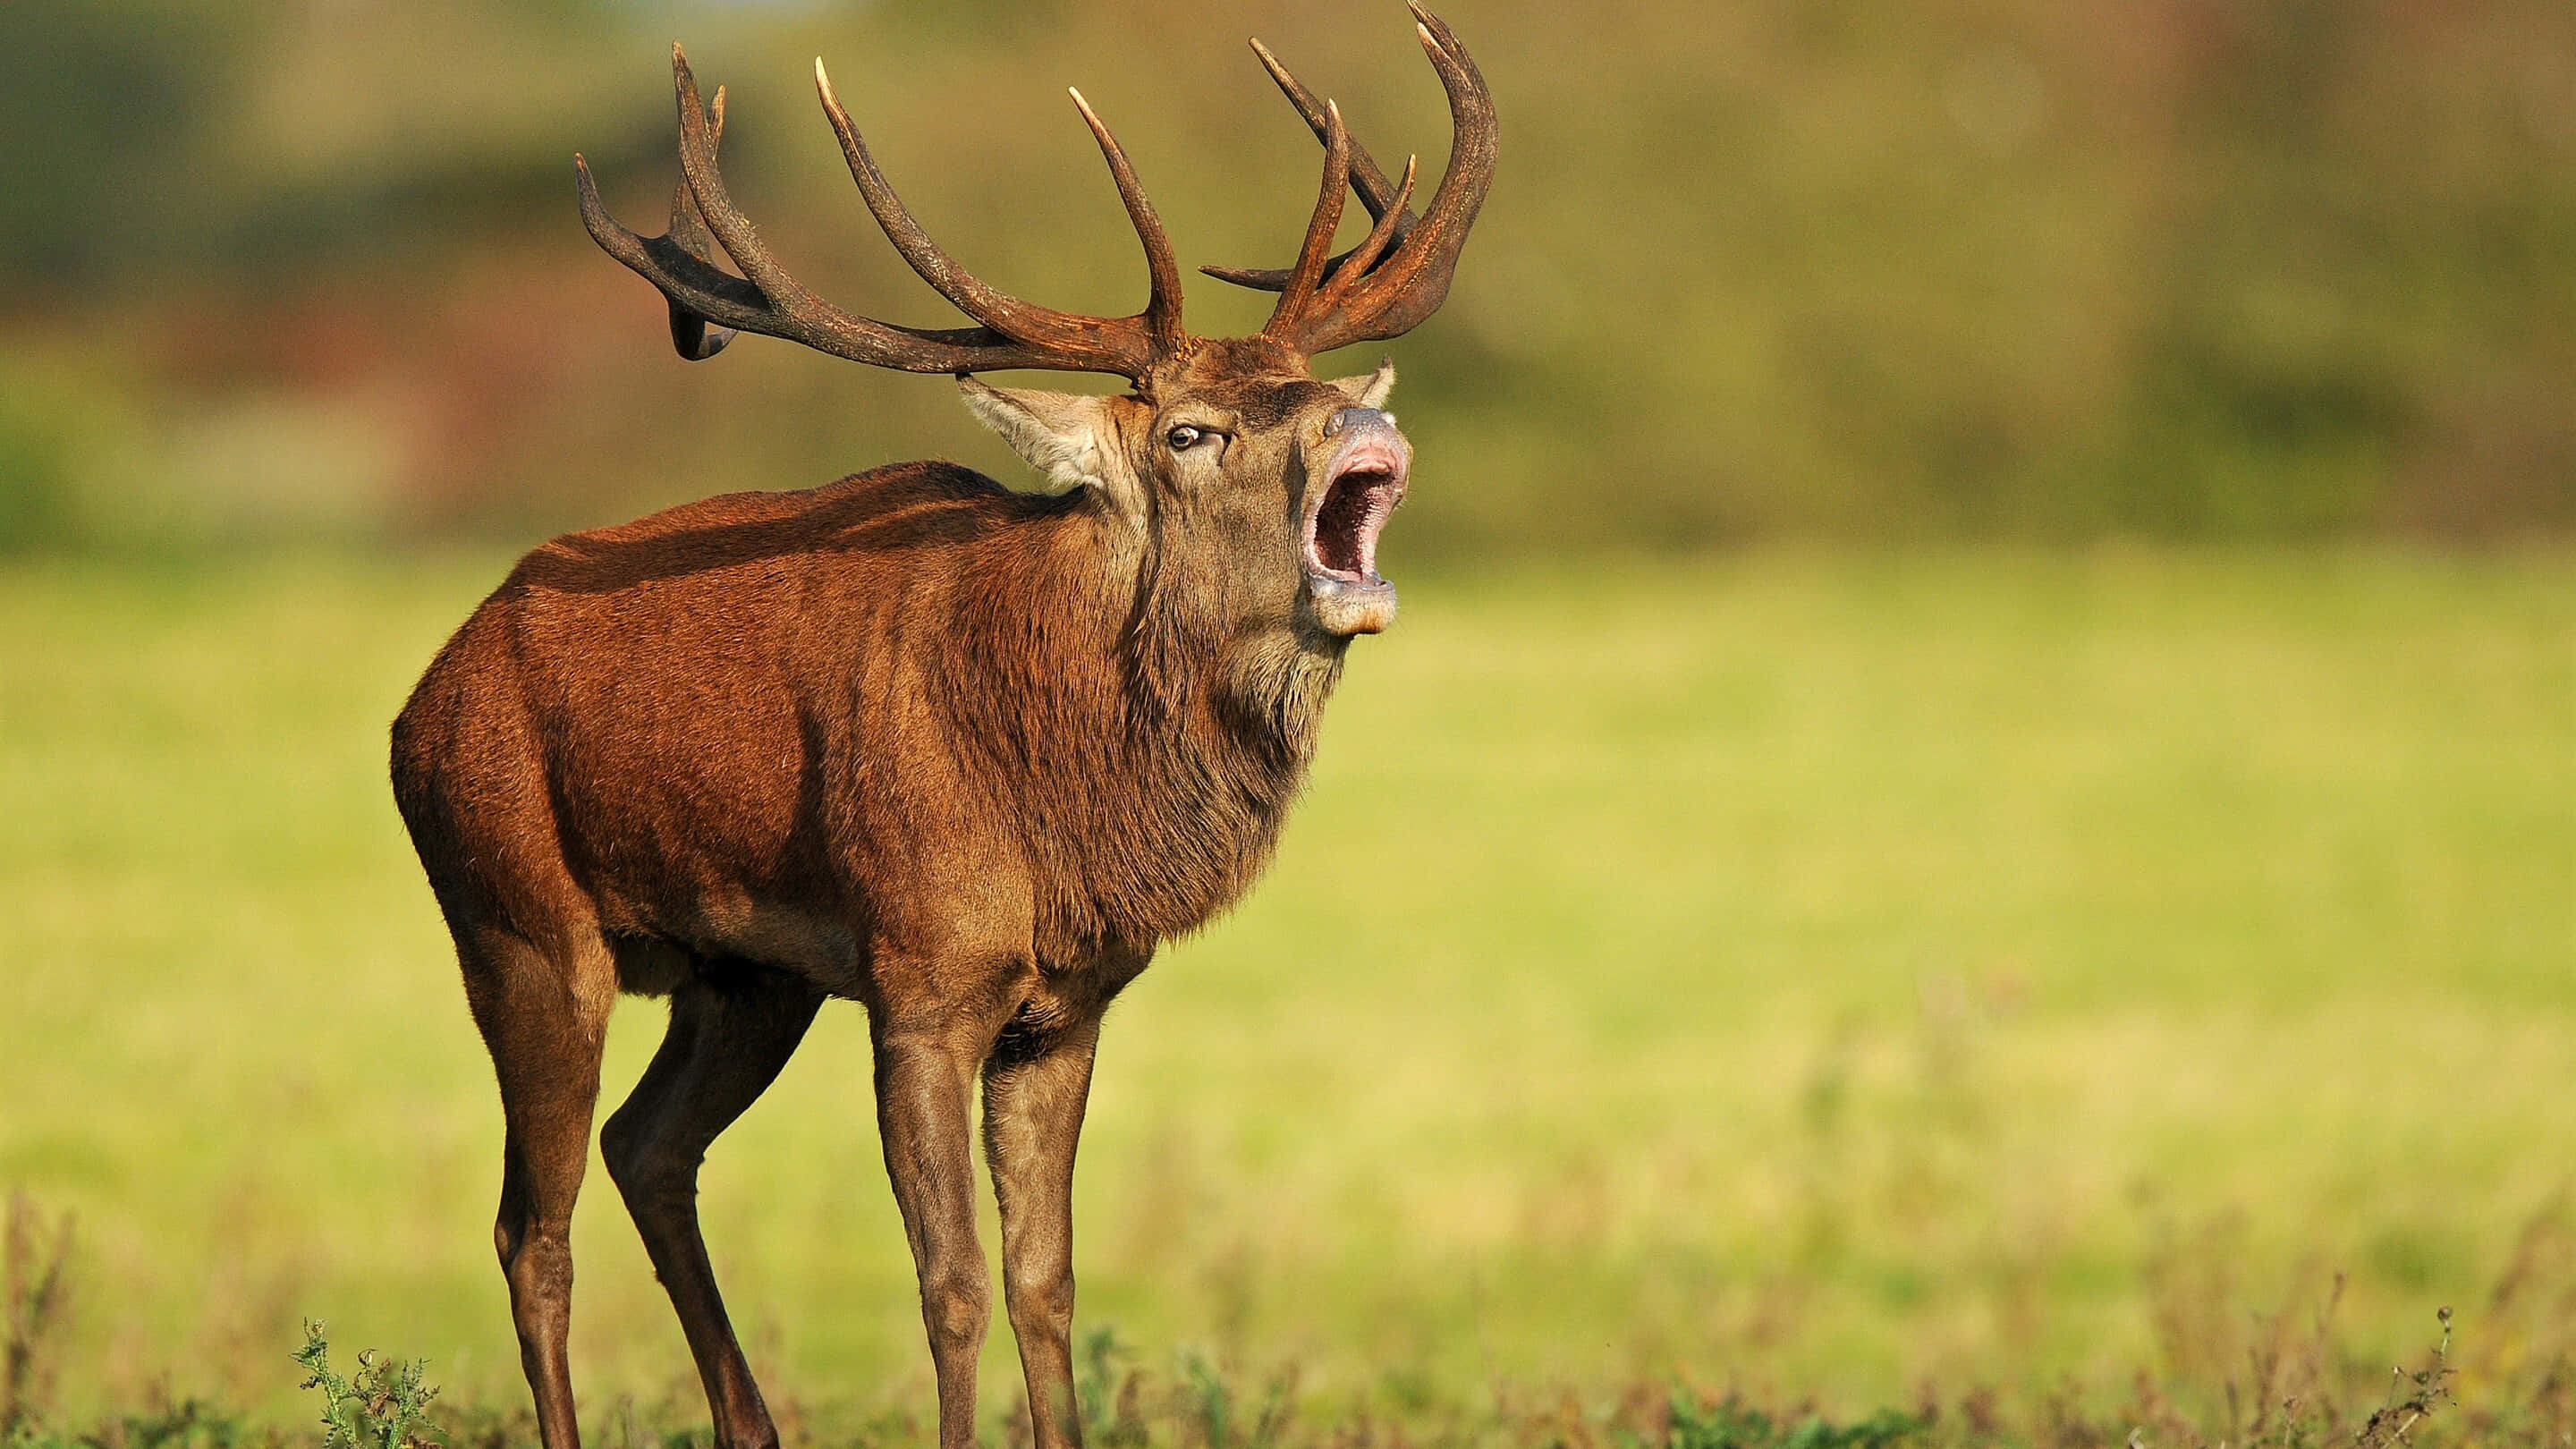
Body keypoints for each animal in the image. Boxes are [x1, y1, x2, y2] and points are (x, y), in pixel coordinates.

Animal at [388, 9, 1491, 1449]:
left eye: (1308, 391)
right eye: (1191, 432)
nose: (1365, 419)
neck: (1062, 812)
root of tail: (422, 696)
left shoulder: (1068, 1002)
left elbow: (1046, 1278)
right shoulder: (920, 976)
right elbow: (951, 1283)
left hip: (748, 976)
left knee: (648, 1147)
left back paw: (754, 1425)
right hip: (513, 917)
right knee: (532, 1227)